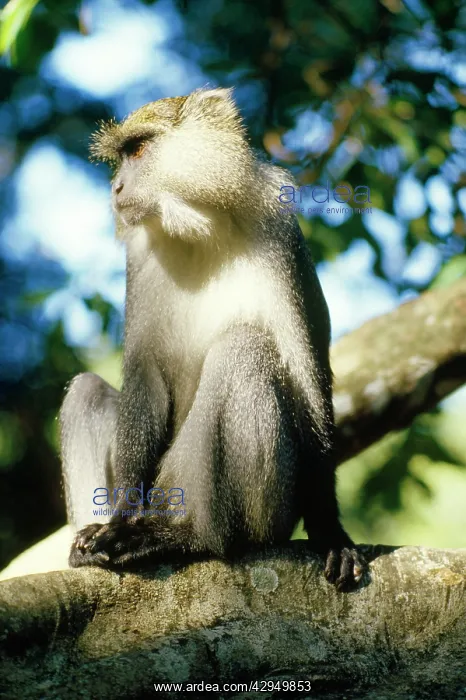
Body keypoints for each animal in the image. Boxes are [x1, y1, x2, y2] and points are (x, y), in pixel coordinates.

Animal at [59, 87, 366, 592]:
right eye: (121, 157)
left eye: (138, 151)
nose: (117, 188)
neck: (198, 226)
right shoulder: (139, 257)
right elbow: (144, 376)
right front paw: (116, 522)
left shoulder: (280, 231)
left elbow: (308, 382)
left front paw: (331, 533)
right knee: (85, 390)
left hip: (229, 496)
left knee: (244, 347)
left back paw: (191, 538)